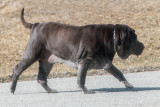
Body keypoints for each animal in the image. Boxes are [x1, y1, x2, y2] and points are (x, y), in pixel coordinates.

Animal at [10, 8, 144, 93]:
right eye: (134, 38)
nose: (143, 46)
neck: (112, 37)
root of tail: (35, 24)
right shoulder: (84, 61)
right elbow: (81, 79)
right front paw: (86, 91)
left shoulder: (106, 64)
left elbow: (118, 73)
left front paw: (128, 84)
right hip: (31, 54)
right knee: (17, 69)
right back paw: (12, 89)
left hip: (46, 62)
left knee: (41, 79)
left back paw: (51, 91)